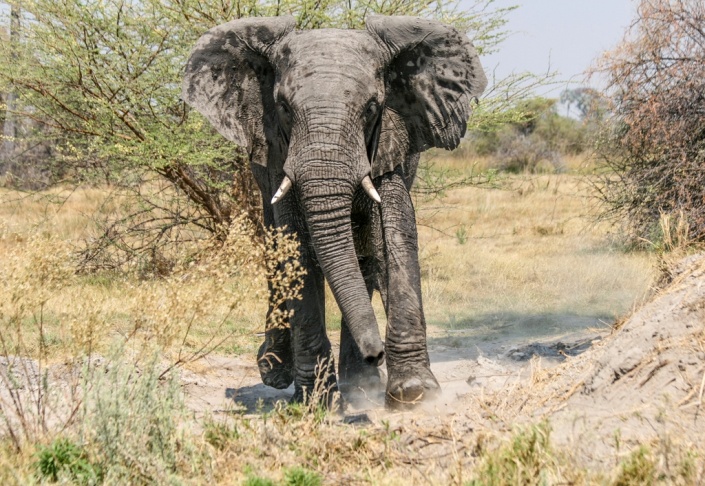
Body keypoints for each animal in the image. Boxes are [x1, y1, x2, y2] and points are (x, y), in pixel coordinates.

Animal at [182, 15, 487, 409]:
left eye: (371, 108)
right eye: (283, 107)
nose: (377, 354)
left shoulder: (392, 138)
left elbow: (394, 236)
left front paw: (413, 392)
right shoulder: (278, 152)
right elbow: (294, 247)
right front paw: (317, 399)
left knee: (365, 258)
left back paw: (361, 384)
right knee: (276, 244)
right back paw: (278, 371)